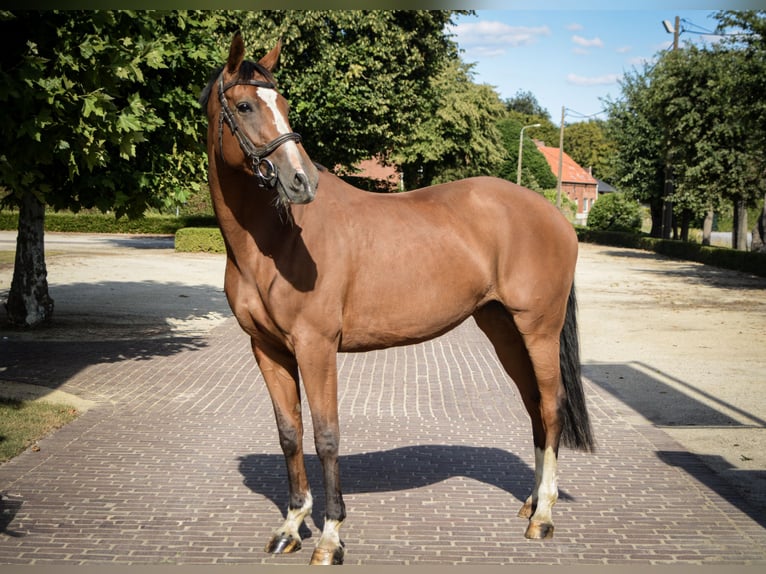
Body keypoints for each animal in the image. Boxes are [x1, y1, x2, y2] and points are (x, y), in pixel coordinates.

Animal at [199, 33, 594, 565]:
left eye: (283, 104)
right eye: (244, 105)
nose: (302, 181)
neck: (274, 241)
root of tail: (556, 216)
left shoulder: (316, 347)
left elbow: (326, 436)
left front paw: (330, 537)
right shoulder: (268, 349)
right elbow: (290, 434)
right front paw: (291, 526)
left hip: (539, 328)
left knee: (551, 407)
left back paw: (545, 516)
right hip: (503, 329)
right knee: (534, 407)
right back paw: (531, 503)